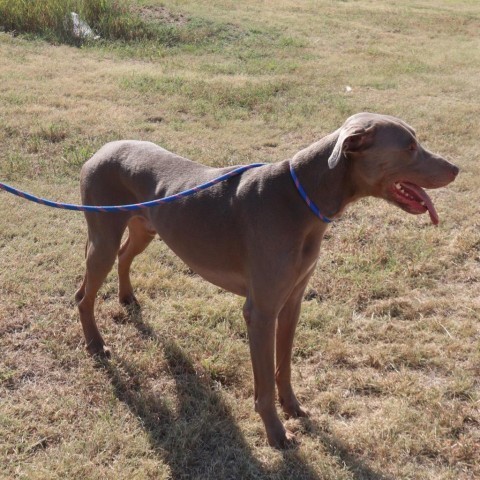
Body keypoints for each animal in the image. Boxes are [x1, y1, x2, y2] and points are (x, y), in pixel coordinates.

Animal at [75, 112, 458, 446]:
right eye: (409, 146)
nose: (457, 169)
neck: (302, 199)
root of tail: (101, 150)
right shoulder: (260, 312)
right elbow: (265, 384)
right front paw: (276, 433)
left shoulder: (291, 302)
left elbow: (283, 366)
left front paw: (293, 407)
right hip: (103, 238)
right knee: (83, 294)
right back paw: (95, 344)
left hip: (144, 228)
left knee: (125, 257)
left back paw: (127, 298)